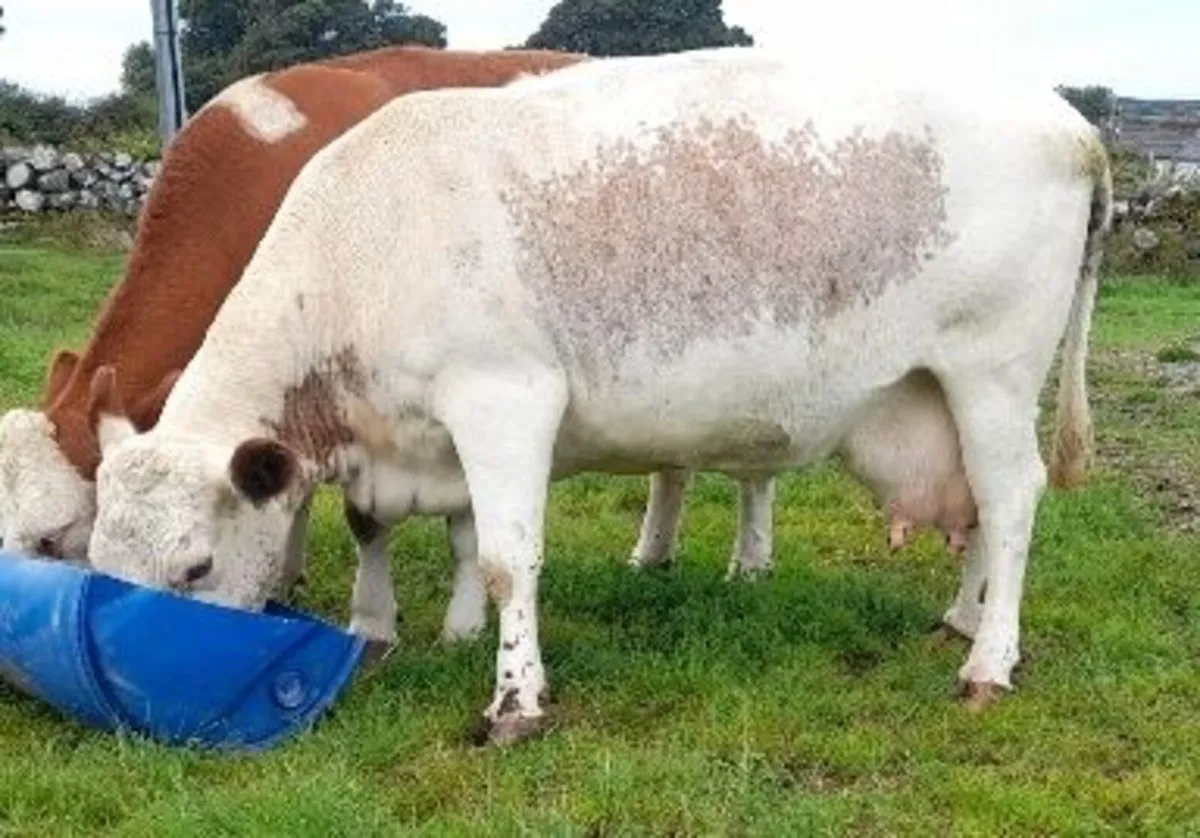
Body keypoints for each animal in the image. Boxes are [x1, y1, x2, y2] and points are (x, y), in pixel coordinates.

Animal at [85, 45, 1110, 746]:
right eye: (92, 554)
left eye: (194, 569)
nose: (123, 691)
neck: (365, 243)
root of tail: (1066, 120)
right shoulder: (403, 437)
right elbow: (413, 532)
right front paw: (401, 632)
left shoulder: (504, 397)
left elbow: (509, 559)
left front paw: (514, 700)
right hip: (939, 394)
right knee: (978, 509)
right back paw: (966, 619)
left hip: (992, 373)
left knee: (1012, 501)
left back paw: (990, 662)